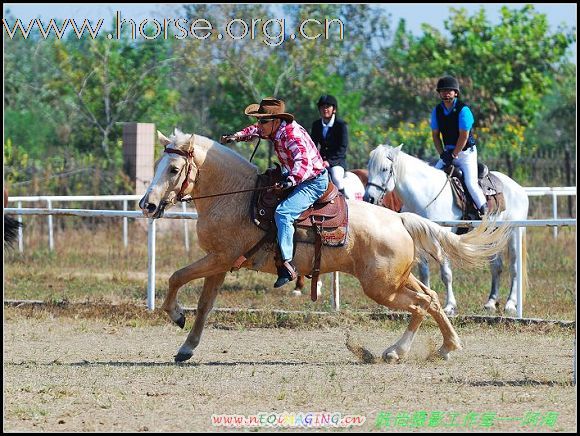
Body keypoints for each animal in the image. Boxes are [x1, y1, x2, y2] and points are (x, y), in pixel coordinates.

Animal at [139, 129, 508, 362]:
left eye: (173, 169)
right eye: (157, 165)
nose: (147, 204)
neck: (237, 198)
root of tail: (400, 219)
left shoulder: (218, 258)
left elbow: (175, 277)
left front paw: (176, 315)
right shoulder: (220, 262)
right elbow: (203, 306)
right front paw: (187, 348)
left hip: (382, 287)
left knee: (419, 306)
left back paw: (394, 352)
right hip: (398, 279)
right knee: (430, 299)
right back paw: (447, 347)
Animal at [364, 145, 528, 316]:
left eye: (384, 169)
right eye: (369, 168)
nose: (369, 198)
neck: (425, 195)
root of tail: (518, 188)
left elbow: (446, 274)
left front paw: (450, 306)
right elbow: (424, 273)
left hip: (514, 234)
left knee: (514, 268)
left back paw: (511, 304)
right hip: (491, 237)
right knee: (496, 267)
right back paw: (490, 302)